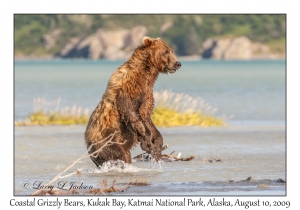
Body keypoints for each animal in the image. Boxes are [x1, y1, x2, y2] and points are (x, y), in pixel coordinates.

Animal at [85, 36, 182, 167]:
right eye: (166, 51)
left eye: (172, 50)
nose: (178, 63)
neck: (145, 75)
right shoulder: (129, 90)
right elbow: (131, 113)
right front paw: (148, 143)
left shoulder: (147, 96)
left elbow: (147, 118)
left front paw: (156, 145)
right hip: (107, 141)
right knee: (118, 155)